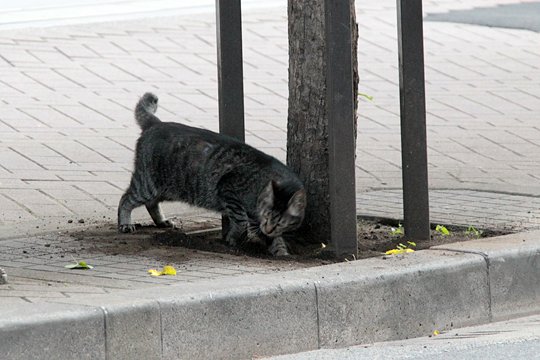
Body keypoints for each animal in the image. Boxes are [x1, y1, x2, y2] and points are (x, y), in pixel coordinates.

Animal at [117, 93, 306, 256]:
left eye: (280, 223)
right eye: (267, 215)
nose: (267, 228)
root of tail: (156, 123)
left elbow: (275, 241)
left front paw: (282, 254)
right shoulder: (229, 189)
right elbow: (241, 221)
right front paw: (233, 238)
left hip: (166, 189)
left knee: (151, 204)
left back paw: (162, 221)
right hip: (148, 185)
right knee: (126, 199)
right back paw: (125, 223)